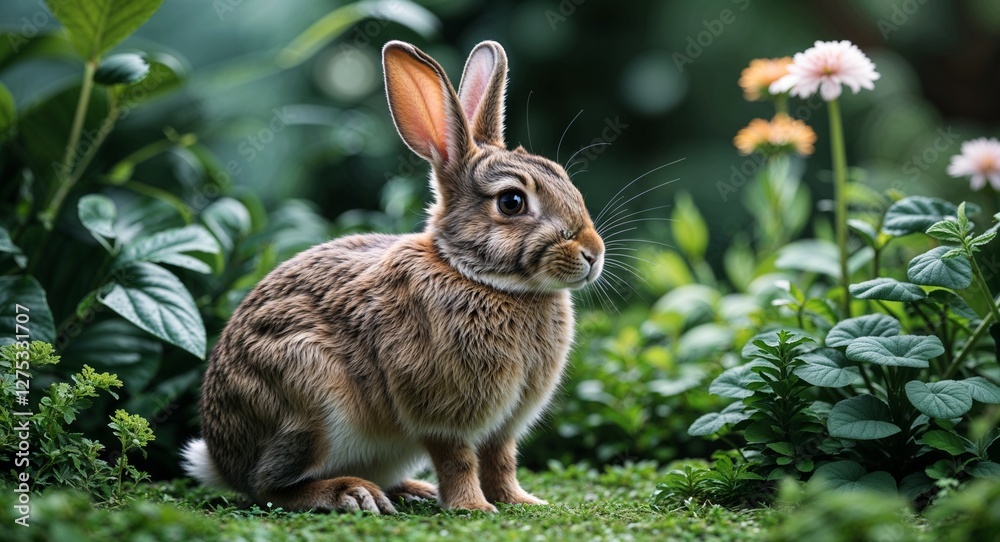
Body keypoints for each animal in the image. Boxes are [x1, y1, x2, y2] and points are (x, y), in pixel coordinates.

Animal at [181, 39, 605, 514]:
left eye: (564, 177)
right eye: (511, 202)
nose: (593, 254)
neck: (477, 276)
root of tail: (220, 459)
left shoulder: (503, 425)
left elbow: (501, 459)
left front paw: (523, 502)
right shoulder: (442, 410)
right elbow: (458, 459)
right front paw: (472, 508)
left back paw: (410, 490)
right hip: (309, 399)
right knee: (267, 487)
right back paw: (353, 493)